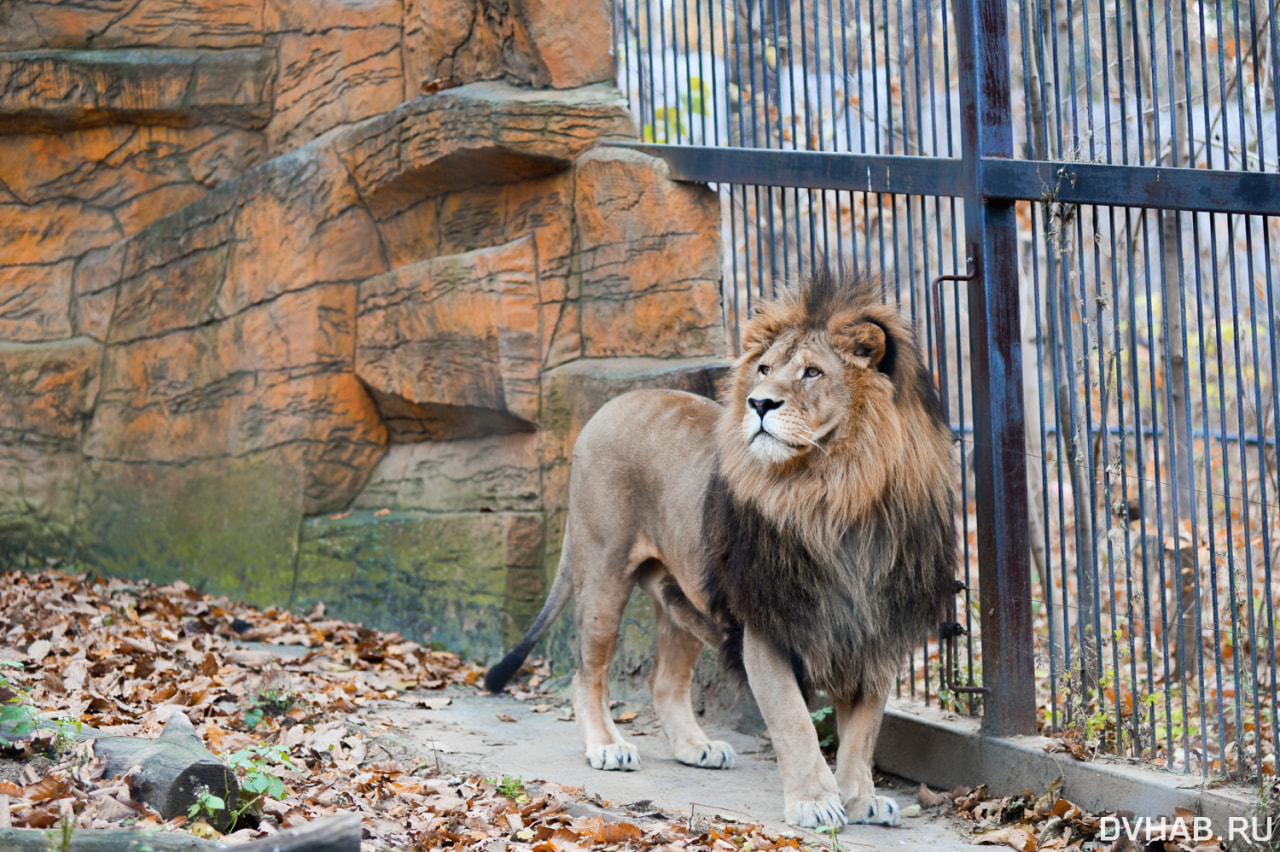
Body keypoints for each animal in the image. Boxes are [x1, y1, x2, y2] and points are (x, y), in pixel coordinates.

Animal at [483, 266, 957, 823]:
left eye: (812, 373)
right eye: (765, 369)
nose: (759, 402)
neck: (835, 493)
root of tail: (608, 407)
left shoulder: (877, 628)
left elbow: (864, 731)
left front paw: (861, 798)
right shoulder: (768, 622)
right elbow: (794, 720)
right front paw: (814, 803)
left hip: (682, 594)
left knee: (665, 681)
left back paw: (696, 747)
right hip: (602, 571)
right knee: (588, 673)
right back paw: (607, 746)